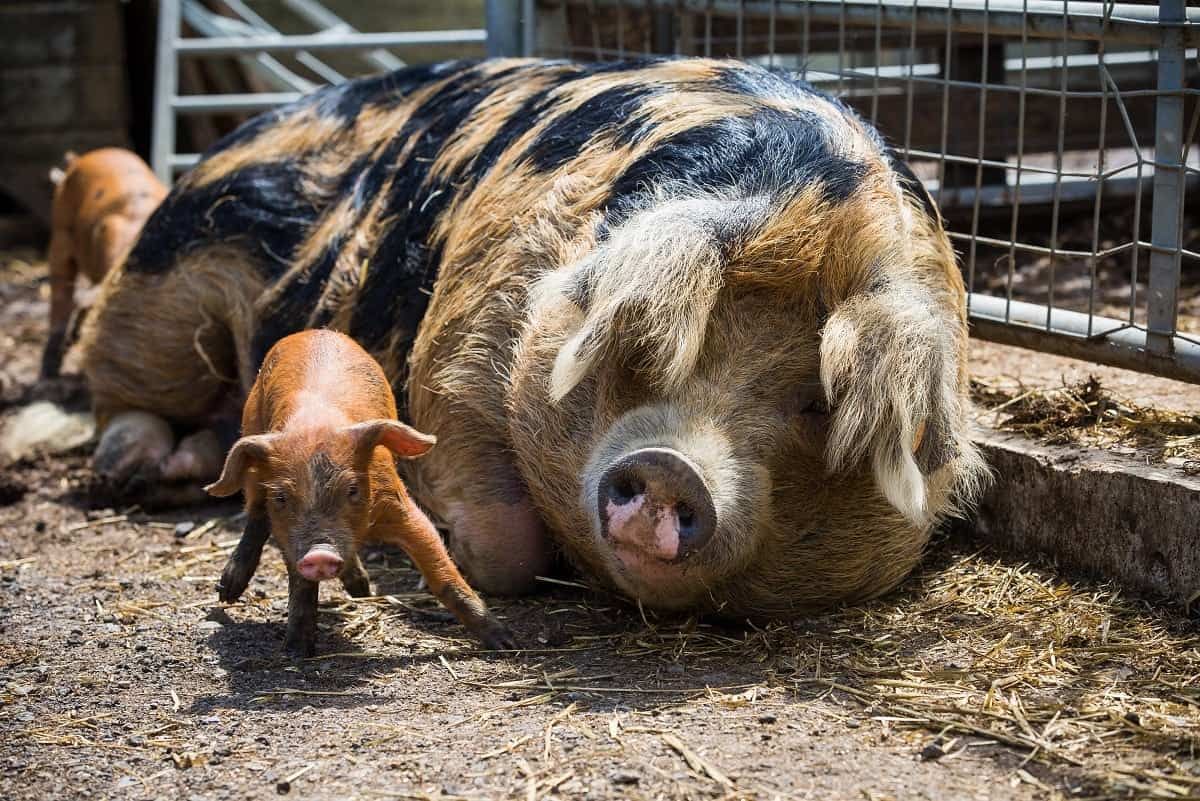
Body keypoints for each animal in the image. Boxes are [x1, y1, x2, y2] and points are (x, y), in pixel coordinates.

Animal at [77, 59, 984, 618]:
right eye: (643, 348)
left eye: (814, 403)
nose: (670, 467)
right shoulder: (462, 328)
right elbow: (500, 536)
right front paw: (446, 534)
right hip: (165, 278)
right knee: (117, 382)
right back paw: (130, 470)